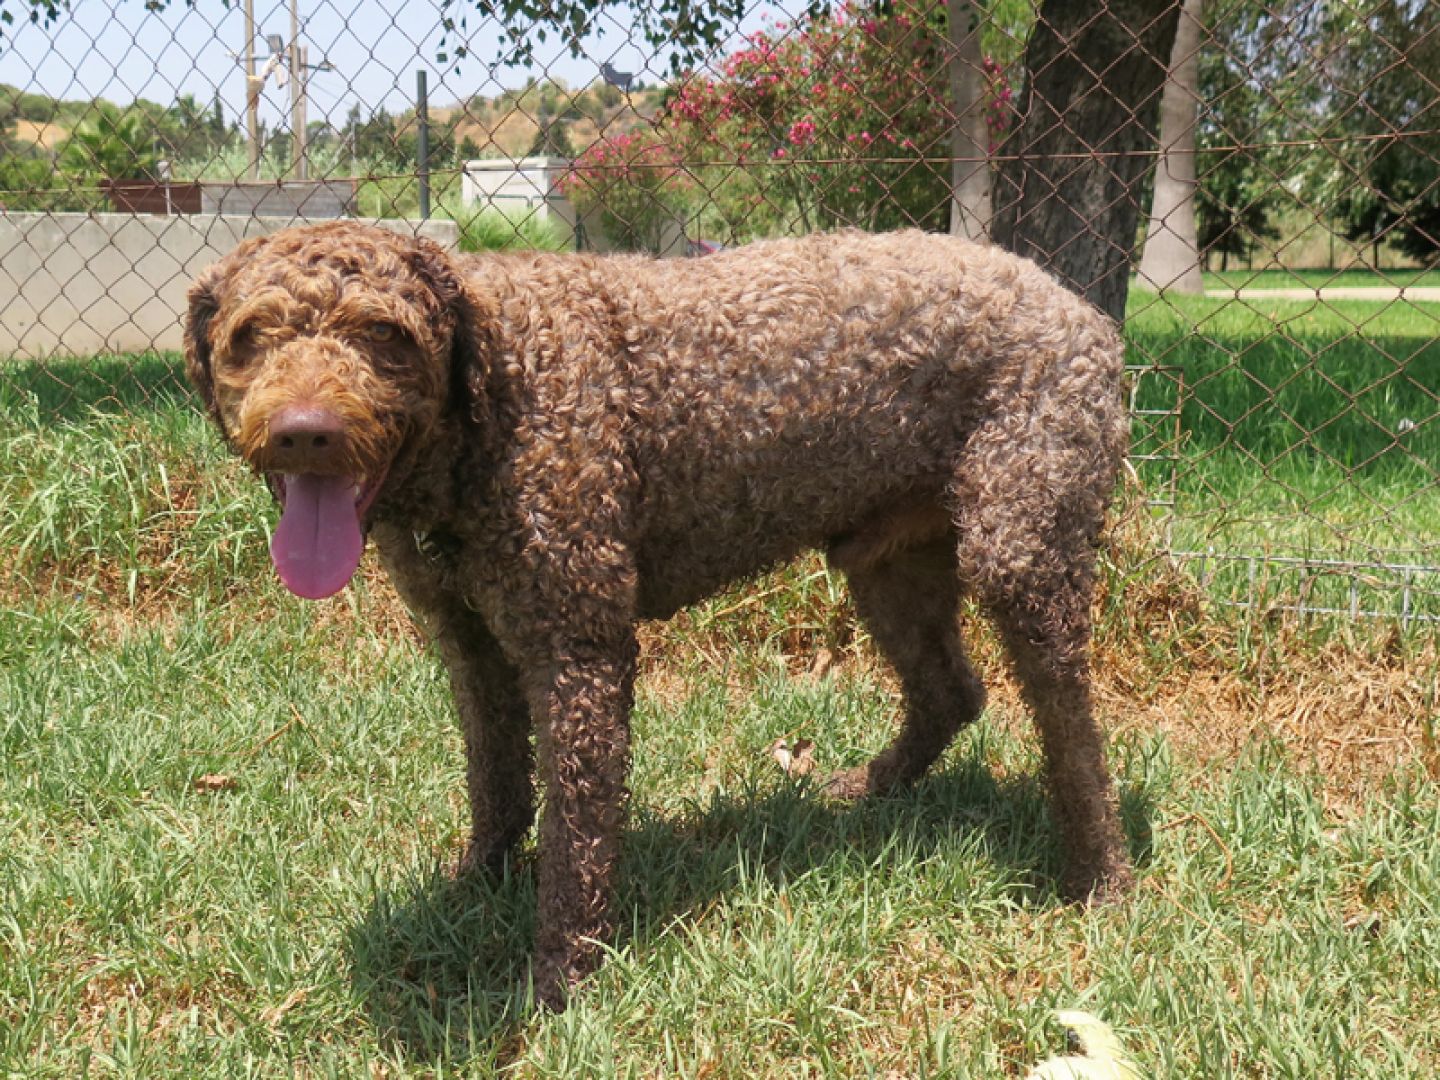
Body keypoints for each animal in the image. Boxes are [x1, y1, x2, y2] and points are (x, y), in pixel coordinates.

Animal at [185, 221, 1134, 1013]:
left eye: (384, 333)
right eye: (250, 335)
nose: (305, 431)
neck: (492, 395)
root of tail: (1077, 307)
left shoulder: (577, 647)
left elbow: (578, 834)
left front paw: (564, 976)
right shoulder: (470, 643)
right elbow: (496, 781)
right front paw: (478, 882)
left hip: (1020, 546)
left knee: (1074, 733)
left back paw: (1101, 876)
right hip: (888, 564)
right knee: (951, 690)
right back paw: (874, 787)